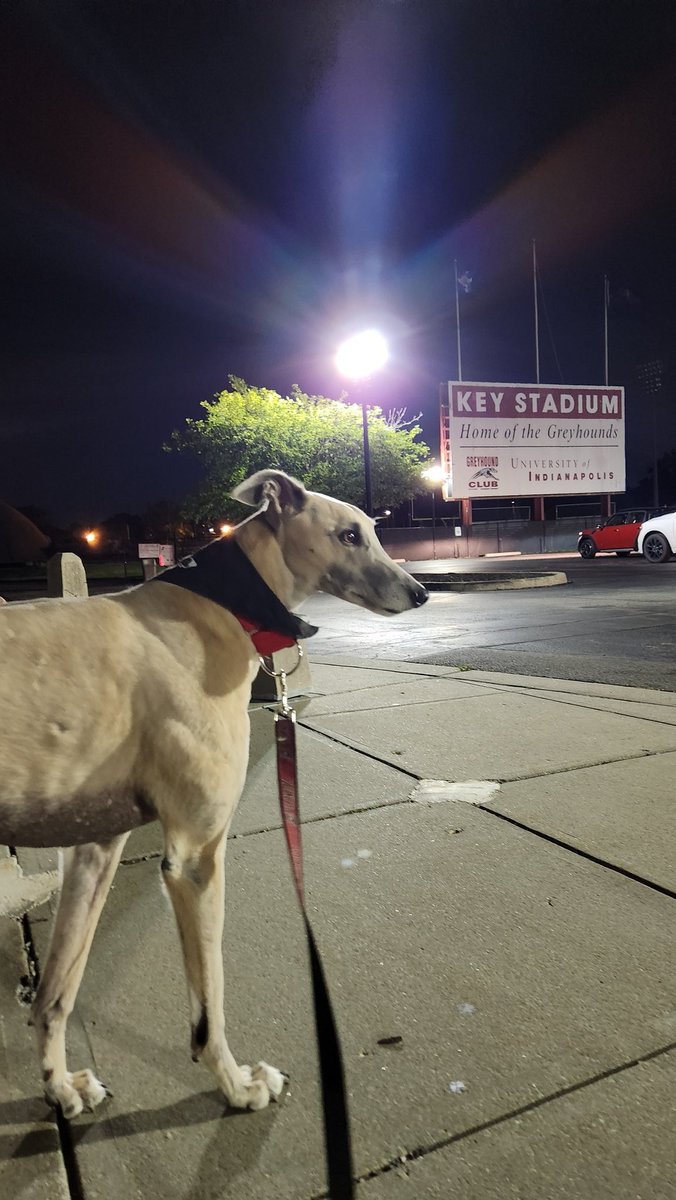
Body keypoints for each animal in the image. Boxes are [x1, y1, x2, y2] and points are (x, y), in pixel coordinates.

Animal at [0, 465, 427, 1113]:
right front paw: (236, 1084)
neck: (220, 602)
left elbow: (56, 992)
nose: (420, 592)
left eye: (374, 530)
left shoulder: (94, 848)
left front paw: (58, 1084)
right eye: (349, 535)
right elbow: (210, 999)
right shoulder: (194, 855)